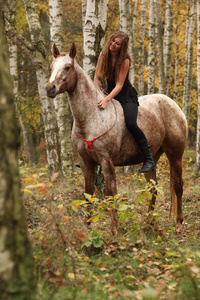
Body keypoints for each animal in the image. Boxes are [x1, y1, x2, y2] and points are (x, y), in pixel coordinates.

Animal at [46, 42, 187, 234]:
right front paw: (88, 228)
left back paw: (179, 224)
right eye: (52, 67)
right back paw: (149, 223)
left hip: (175, 155)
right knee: (153, 187)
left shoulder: (106, 163)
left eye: (67, 67)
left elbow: (110, 195)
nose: (50, 88)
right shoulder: (86, 164)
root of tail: (173, 104)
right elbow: (88, 194)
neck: (91, 117)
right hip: (151, 159)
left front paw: (114, 230)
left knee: (178, 186)